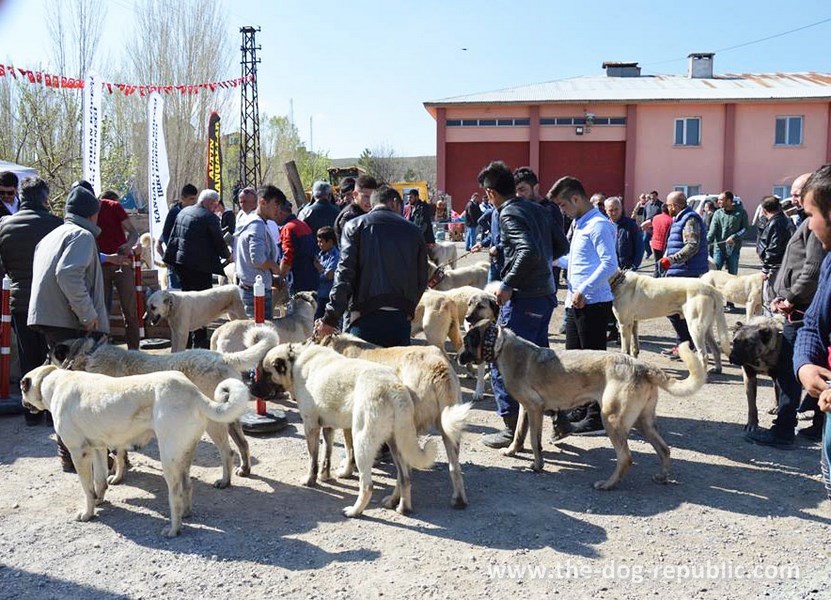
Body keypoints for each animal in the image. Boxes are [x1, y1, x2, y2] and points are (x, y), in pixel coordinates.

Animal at [21, 366, 250, 540]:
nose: (23, 404)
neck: (52, 381)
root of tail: (192, 391)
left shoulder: (79, 453)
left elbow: (87, 489)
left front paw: (88, 513)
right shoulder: (98, 449)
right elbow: (99, 481)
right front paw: (99, 499)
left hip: (169, 460)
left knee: (176, 493)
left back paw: (174, 529)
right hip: (183, 455)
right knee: (188, 485)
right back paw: (186, 514)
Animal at [52, 328, 280, 488]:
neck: (88, 355)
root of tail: (223, 357)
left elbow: (118, 455)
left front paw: (116, 476)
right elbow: (121, 455)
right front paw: (120, 473)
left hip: (214, 422)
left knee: (227, 451)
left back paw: (225, 481)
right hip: (230, 418)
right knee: (243, 444)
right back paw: (245, 469)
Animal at [252, 344, 436, 516]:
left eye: (265, 373)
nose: (252, 390)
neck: (295, 359)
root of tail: (393, 387)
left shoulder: (311, 427)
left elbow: (313, 460)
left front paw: (311, 480)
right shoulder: (328, 428)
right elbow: (327, 456)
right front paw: (325, 476)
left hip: (362, 443)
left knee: (367, 485)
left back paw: (355, 511)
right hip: (396, 445)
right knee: (404, 478)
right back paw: (399, 505)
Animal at [320, 332, 472, 506]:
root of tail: (438, 366)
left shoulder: (349, 424)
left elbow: (349, 450)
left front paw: (345, 471)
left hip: (402, 430)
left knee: (404, 473)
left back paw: (394, 500)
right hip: (449, 430)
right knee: (454, 468)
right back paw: (458, 500)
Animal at [458, 322, 704, 490]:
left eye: (467, 342)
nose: (458, 358)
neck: (501, 345)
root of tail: (642, 367)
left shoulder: (535, 407)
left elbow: (535, 442)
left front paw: (537, 465)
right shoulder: (526, 409)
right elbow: (519, 434)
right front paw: (511, 451)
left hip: (611, 419)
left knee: (626, 458)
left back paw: (607, 484)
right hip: (643, 422)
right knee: (664, 449)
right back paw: (662, 477)